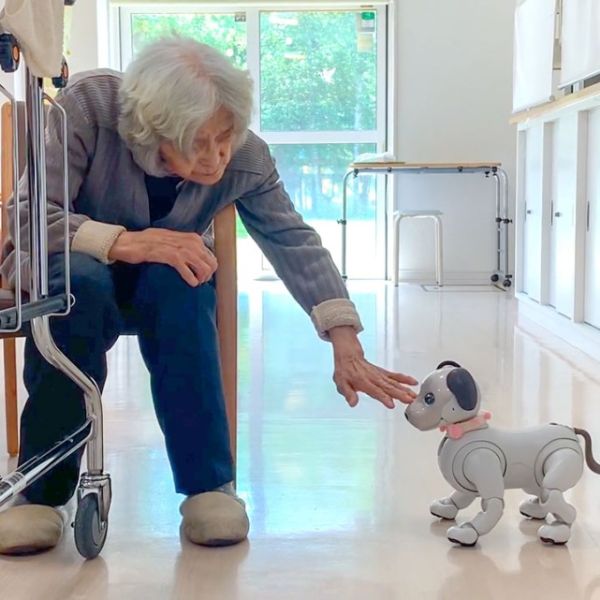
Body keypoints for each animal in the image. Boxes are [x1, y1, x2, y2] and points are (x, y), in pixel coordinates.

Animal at [404, 364, 600, 548]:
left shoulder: (483, 463)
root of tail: (571, 430)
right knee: (543, 496)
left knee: (554, 498)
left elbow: (492, 505)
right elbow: (459, 497)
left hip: (561, 463)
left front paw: (466, 532)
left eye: (429, 398)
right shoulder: (469, 485)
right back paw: (534, 510)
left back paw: (557, 531)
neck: (466, 429)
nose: (407, 414)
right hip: (533, 479)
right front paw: (445, 506)